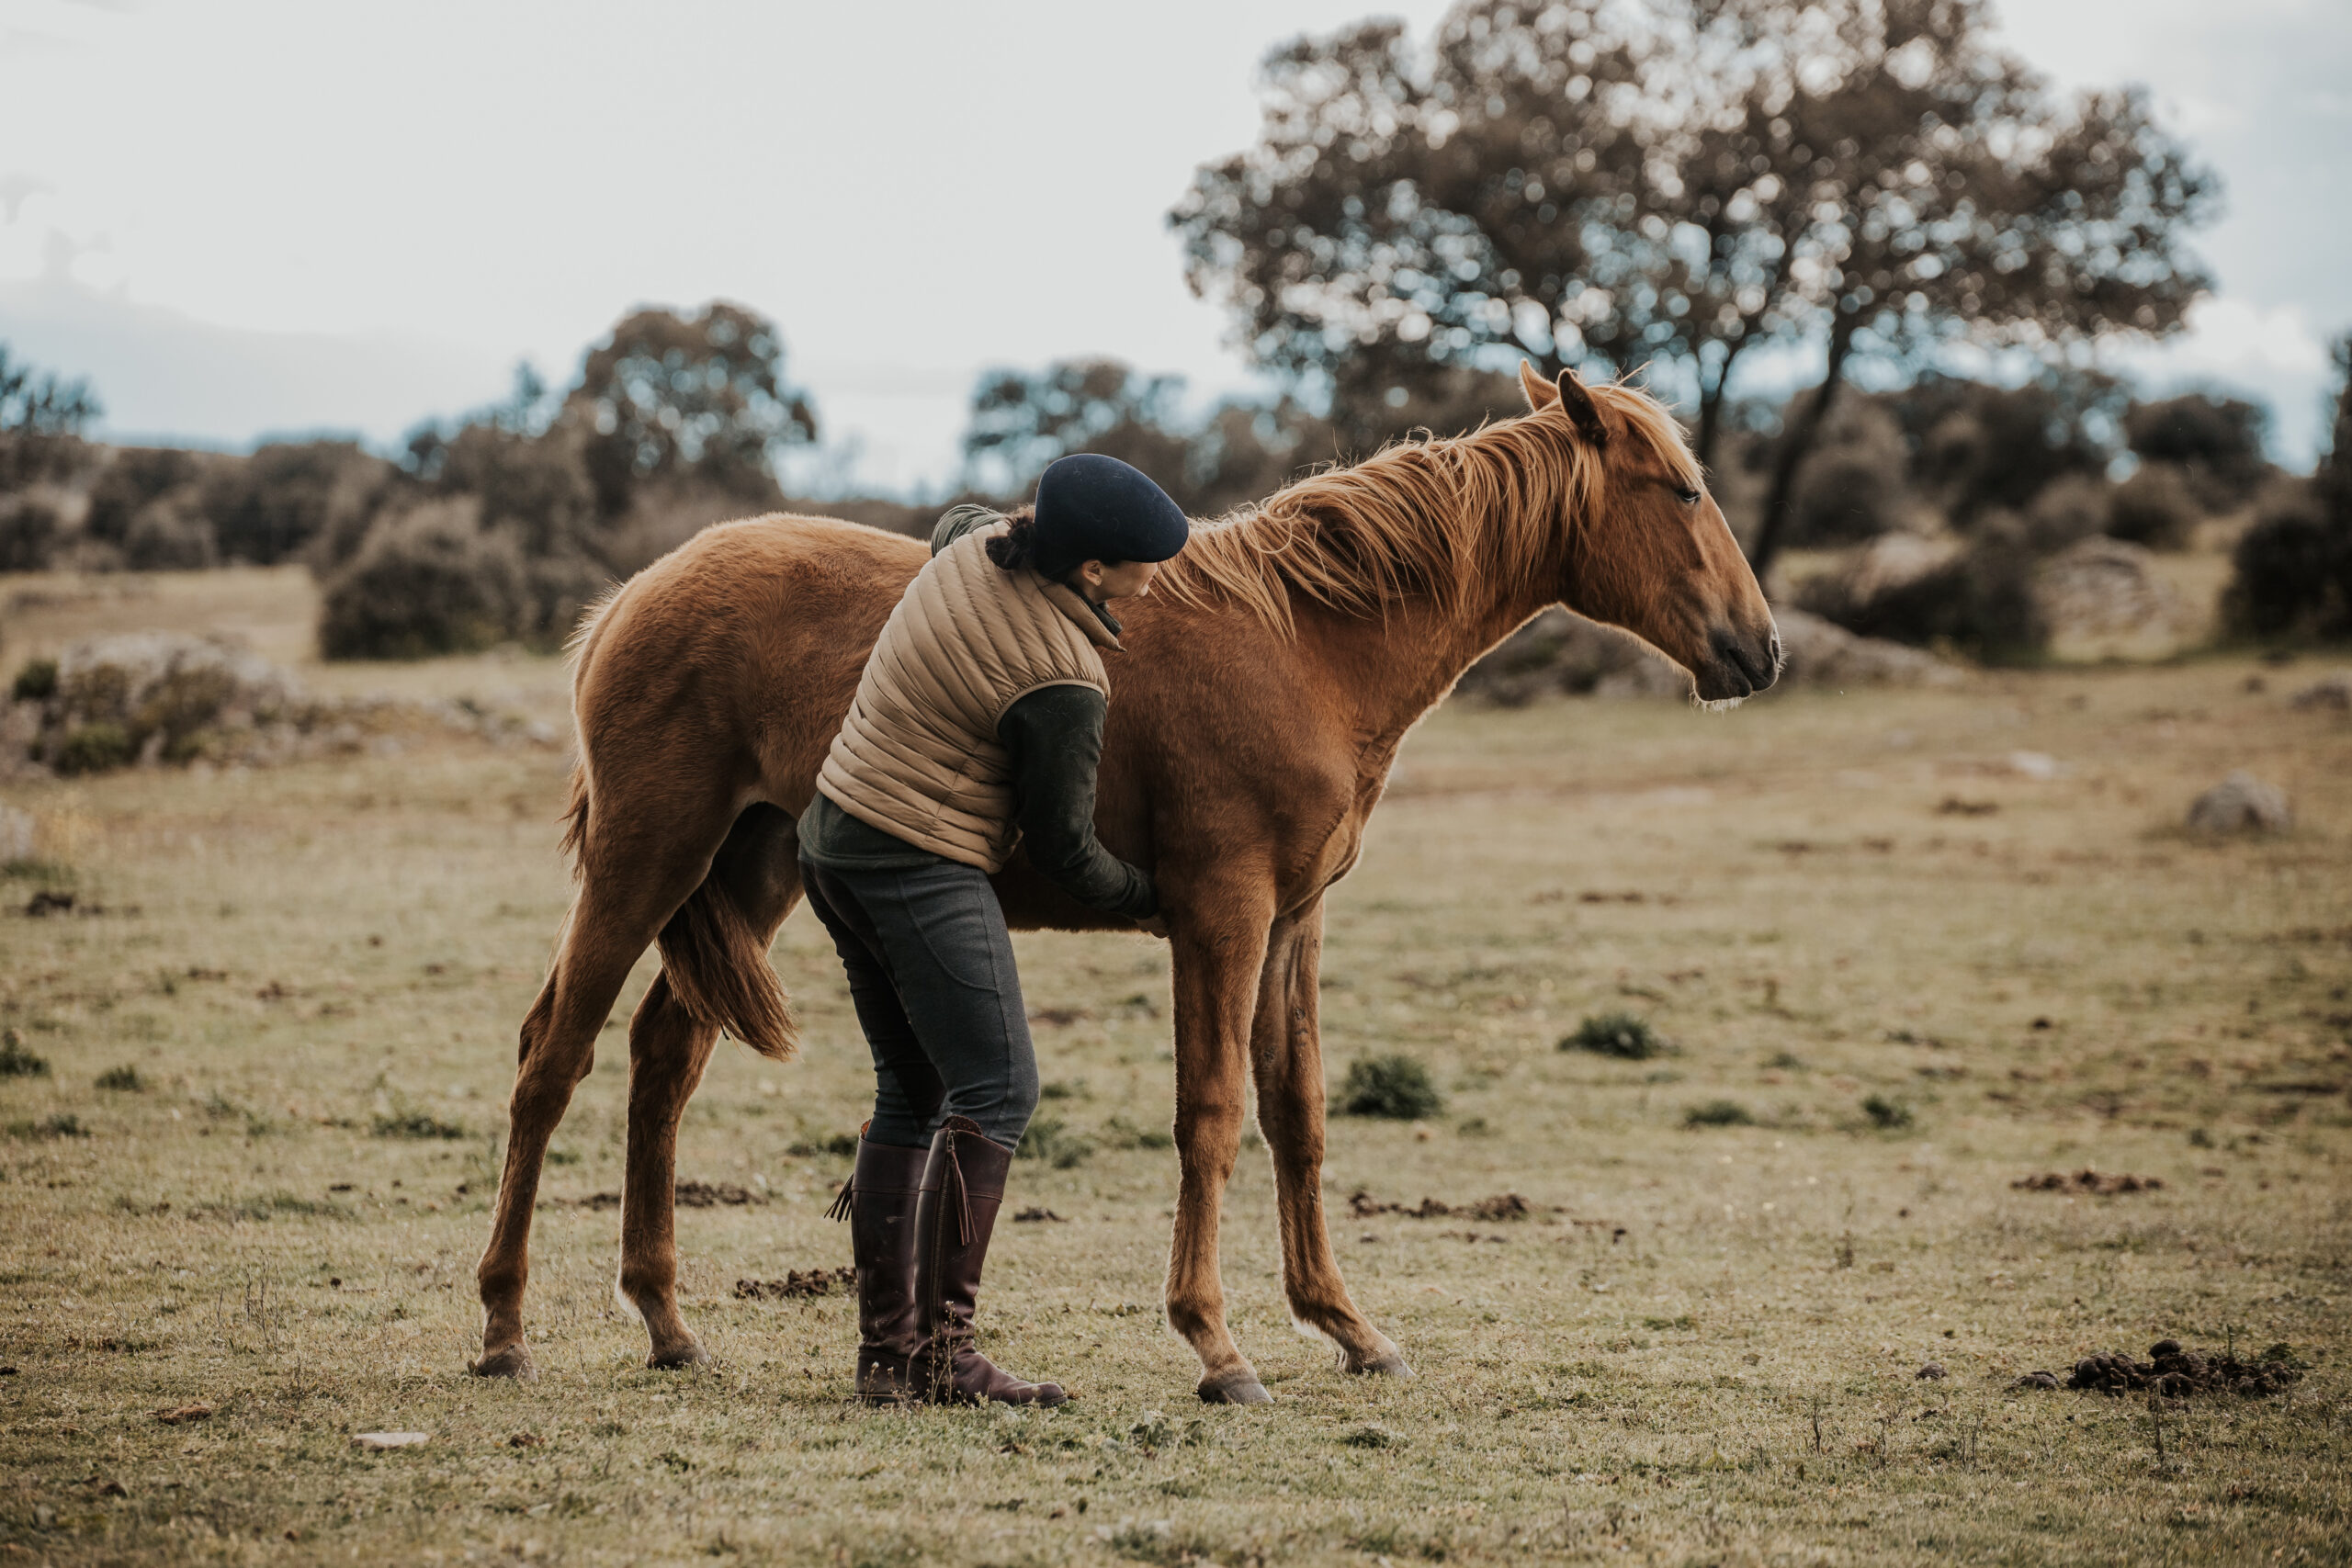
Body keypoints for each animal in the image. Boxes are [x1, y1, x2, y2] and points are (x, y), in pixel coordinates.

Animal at [472, 364, 1779, 1403]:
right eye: (1682, 490)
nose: (1760, 649)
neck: (1307, 645)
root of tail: (632, 597)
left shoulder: (1294, 925)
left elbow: (1298, 1115)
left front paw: (1348, 1327)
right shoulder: (1223, 916)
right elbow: (1211, 1117)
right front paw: (1217, 1346)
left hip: (749, 873)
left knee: (661, 1061)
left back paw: (668, 1325)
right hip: (646, 861)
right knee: (553, 1058)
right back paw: (504, 1330)